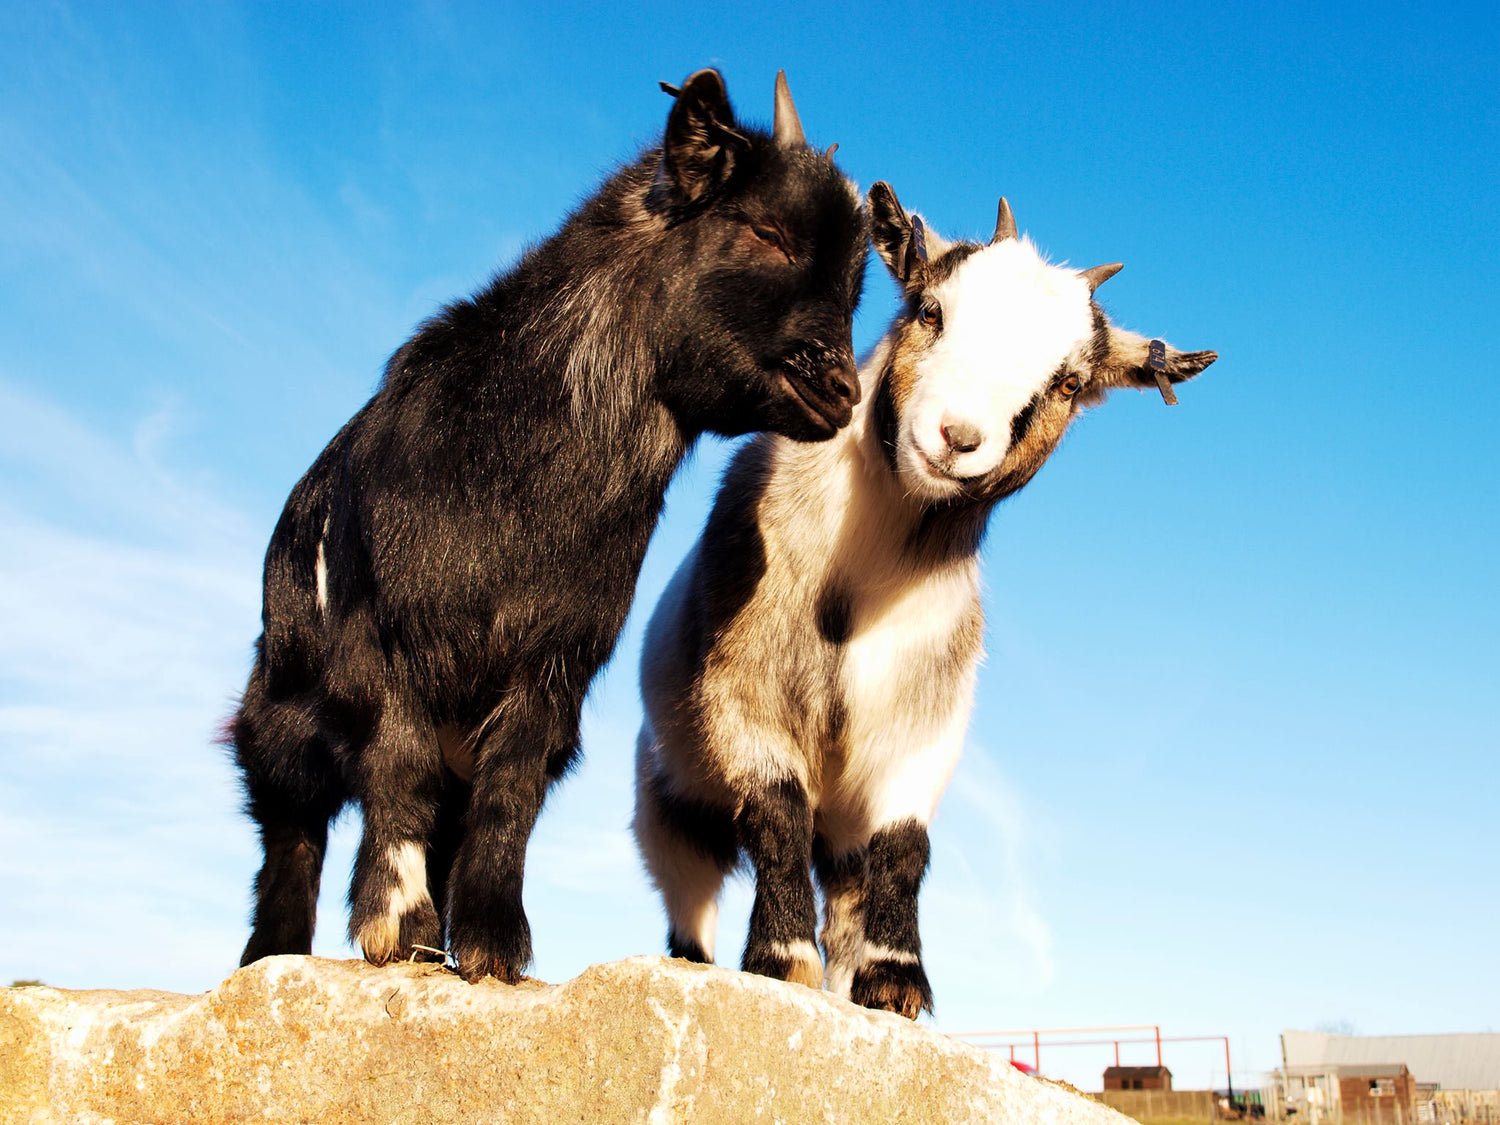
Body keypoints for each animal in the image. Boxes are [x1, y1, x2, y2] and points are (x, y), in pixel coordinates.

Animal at [229, 69, 869, 984]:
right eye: (768, 231)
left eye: (858, 283)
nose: (841, 391)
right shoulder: (377, 645)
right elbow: (397, 767)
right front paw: (400, 925)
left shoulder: (554, 667)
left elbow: (511, 793)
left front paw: (491, 942)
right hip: (275, 717)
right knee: (291, 832)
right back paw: (270, 952)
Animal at [633, 182, 1217, 1017]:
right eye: (930, 309)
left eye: (1069, 383)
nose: (956, 437)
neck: (853, 578)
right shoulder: (742, 694)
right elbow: (776, 814)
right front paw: (780, 961)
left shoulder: (923, 721)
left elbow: (905, 845)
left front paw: (893, 979)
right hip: (669, 797)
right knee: (689, 890)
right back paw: (702, 963)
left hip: (839, 826)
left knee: (847, 889)